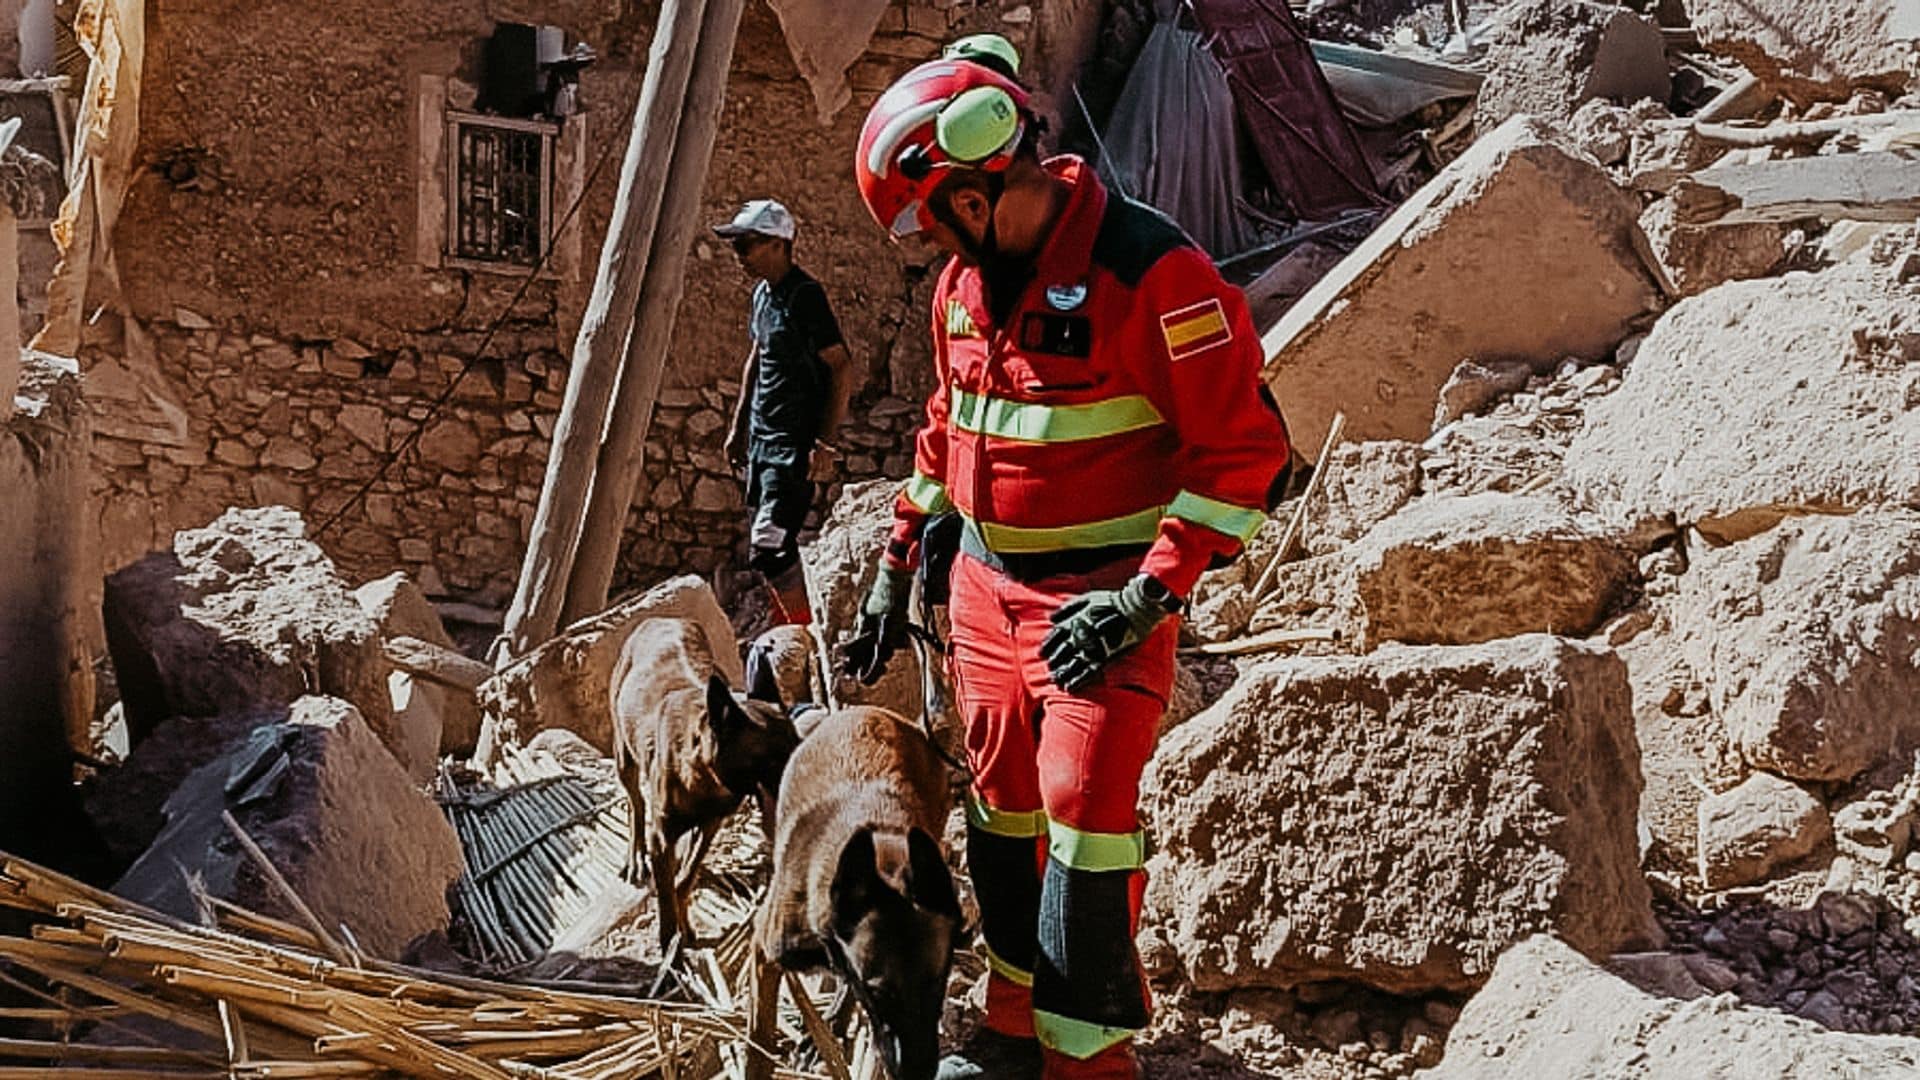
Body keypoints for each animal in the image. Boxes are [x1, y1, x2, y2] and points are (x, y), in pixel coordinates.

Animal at [610, 614, 798, 949]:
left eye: (797, 743)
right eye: (771, 758)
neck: (705, 778)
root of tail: (657, 618)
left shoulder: (711, 824)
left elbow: (685, 879)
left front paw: (684, 927)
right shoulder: (662, 839)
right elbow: (666, 900)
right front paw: (671, 943)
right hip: (623, 756)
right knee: (636, 803)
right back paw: (635, 855)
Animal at [744, 703, 967, 1076]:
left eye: (938, 981)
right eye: (879, 993)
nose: (917, 1071)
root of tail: (870, 710)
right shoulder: (765, 952)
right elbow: (758, 1044)